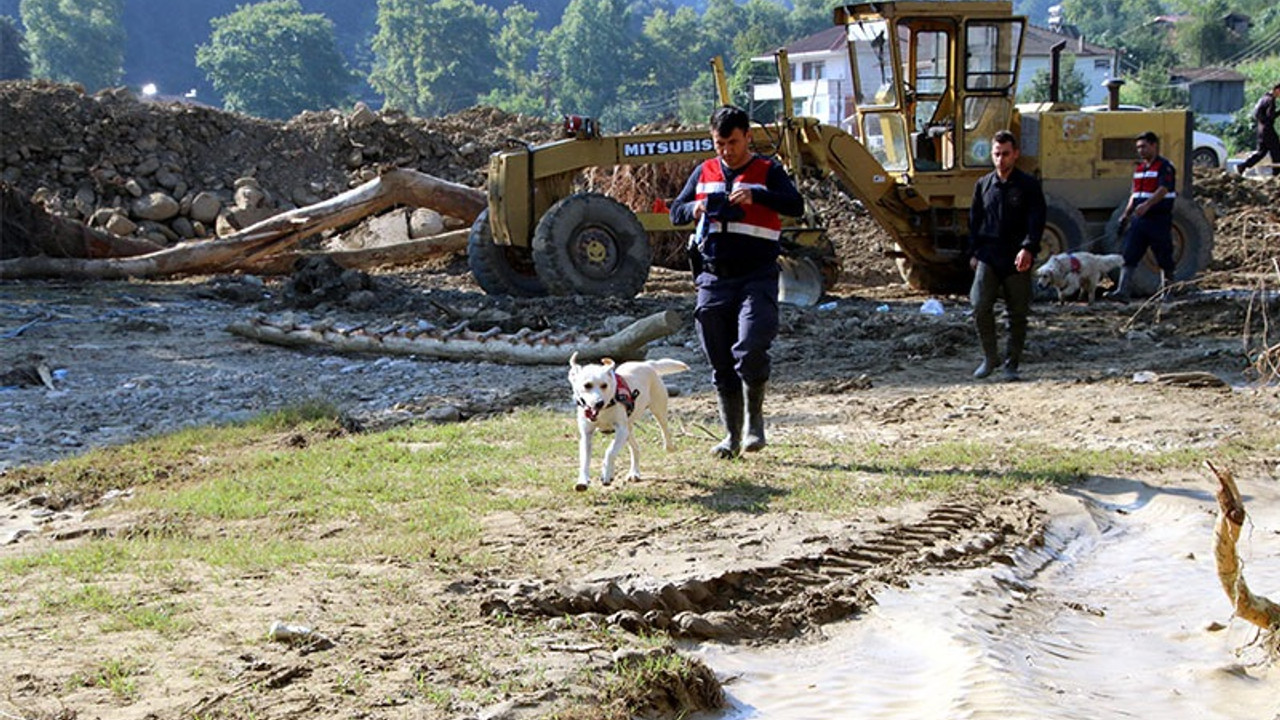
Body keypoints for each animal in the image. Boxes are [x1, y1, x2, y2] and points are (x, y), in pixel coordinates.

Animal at [568, 351, 691, 489]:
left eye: (604, 385)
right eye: (587, 385)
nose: (599, 403)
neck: (604, 409)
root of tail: (648, 364)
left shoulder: (621, 430)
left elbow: (610, 451)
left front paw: (606, 473)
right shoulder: (587, 435)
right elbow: (585, 459)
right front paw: (582, 481)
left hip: (658, 409)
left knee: (664, 428)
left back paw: (669, 447)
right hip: (629, 429)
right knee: (635, 449)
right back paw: (634, 473)